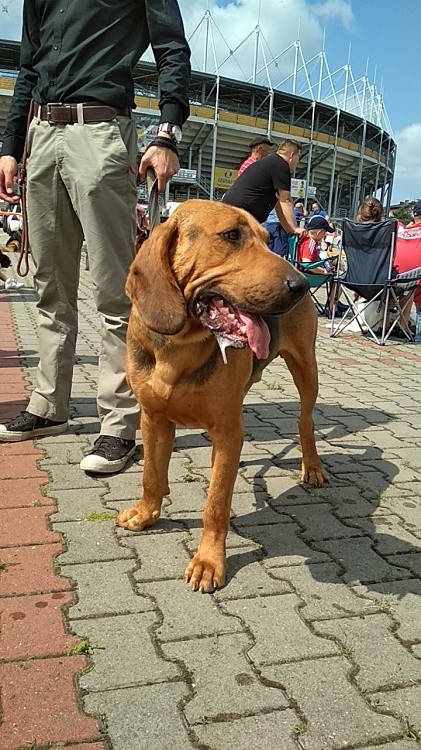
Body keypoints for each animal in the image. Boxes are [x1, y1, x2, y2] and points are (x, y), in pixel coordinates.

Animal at [116, 200, 326, 592]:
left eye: (266, 239)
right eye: (231, 235)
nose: (301, 285)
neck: (180, 348)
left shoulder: (228, 430)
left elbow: (215, 504)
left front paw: (208, 561)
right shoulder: (153, 419)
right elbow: (151, 475)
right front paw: (147, 513)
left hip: (307, 369)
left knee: (305, 421)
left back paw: (313, 467)